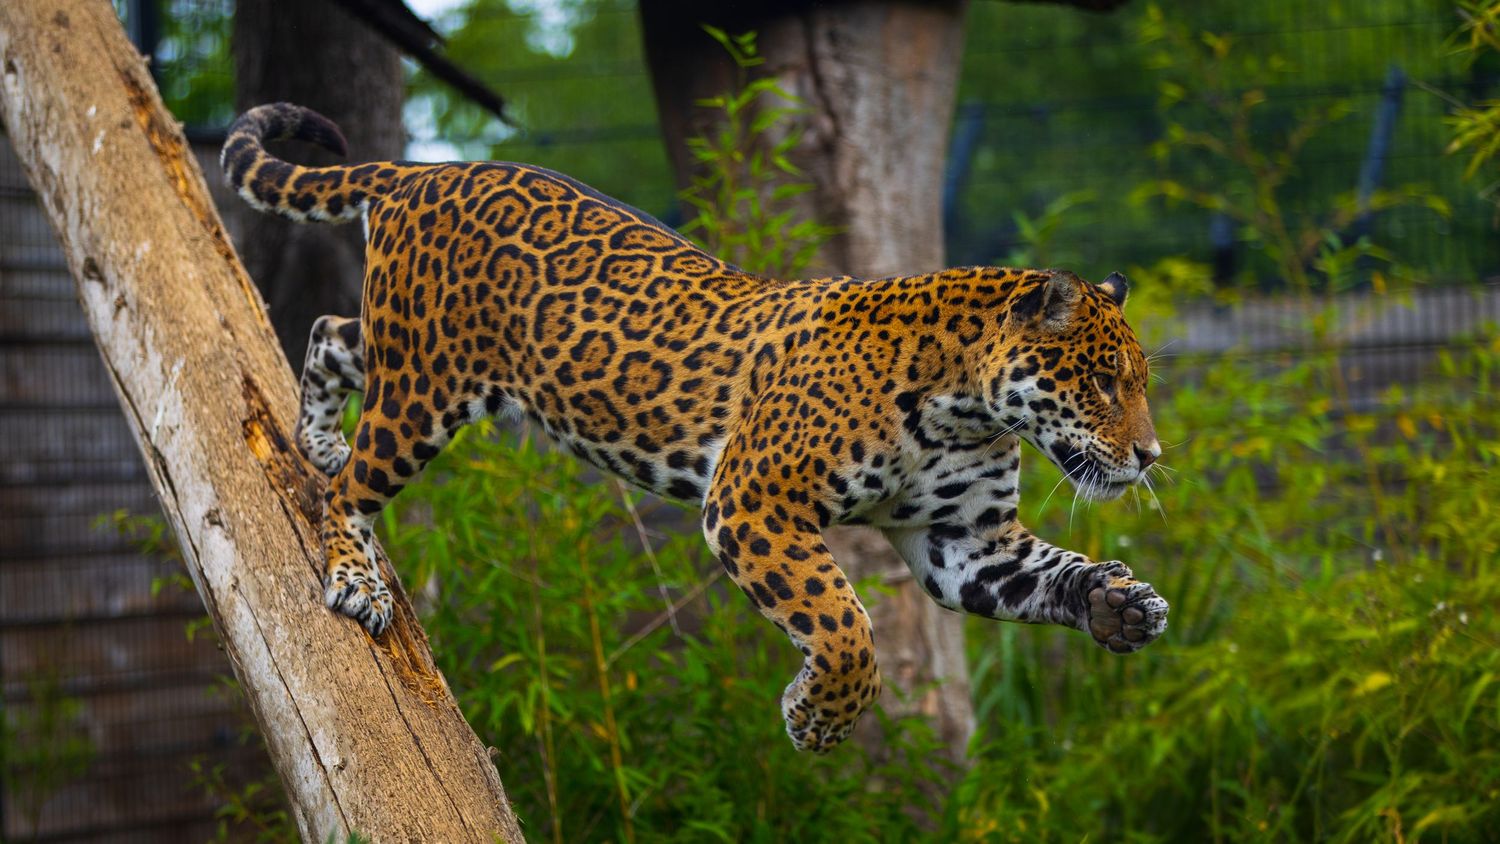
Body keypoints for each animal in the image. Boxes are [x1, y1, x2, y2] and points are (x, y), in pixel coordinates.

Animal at [222, 102, 1169, 753]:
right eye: (1102, 381)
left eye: (1141, 383)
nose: (1152, 455)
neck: (966, 406)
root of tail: (423, 174)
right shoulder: (754, 503)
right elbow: (843, 624)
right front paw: (816, 720)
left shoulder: (964, 540)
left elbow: (1047, 573)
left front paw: (1121, 605)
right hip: (423, 391)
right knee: (349, 488)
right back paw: (355, 575)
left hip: (428, 365)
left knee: (330, 333)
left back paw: (317, 438)